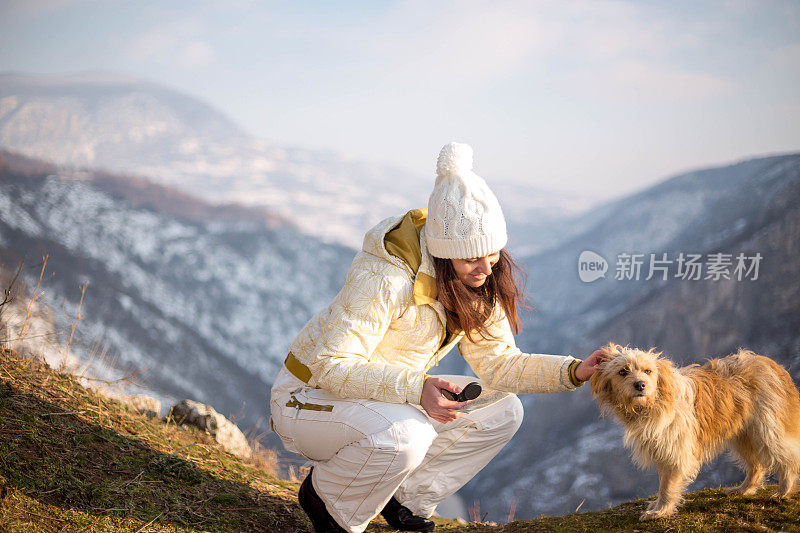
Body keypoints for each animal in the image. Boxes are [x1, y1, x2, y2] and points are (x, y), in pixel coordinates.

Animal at [592, 340, 796, 520]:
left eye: (647, 371)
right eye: (622, 371)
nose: (640, 385)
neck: (654, 403)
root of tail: (770, 364)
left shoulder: (675, 450)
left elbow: (667, 485)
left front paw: (661, 510)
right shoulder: (662, 449)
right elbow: (662, 481)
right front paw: (658, 505)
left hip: (766, 429)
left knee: (788, 458)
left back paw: (783, 491)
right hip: (742, 433)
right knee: (757, 465)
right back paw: (744, 489)